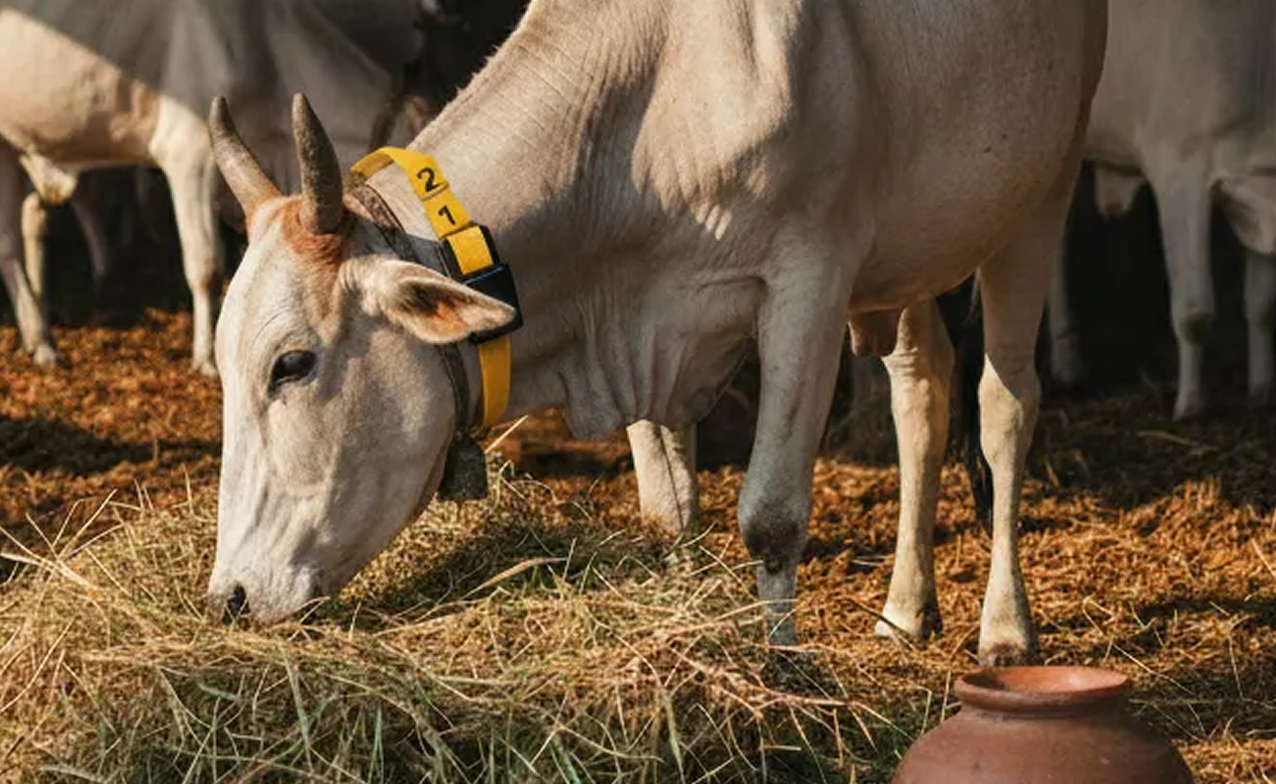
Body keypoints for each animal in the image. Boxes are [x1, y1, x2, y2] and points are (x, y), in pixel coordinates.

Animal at [205, 0, 1106, 666]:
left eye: (292, 362)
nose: (229, 598)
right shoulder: (633, 325)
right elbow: (669, 509)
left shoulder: (809, 286)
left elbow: (771, 515)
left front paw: (785, 669)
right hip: (916, 255)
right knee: (921, 397)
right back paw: (905, 611)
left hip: (1042, 192)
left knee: (1004, 406)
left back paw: (1005, 628)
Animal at [1046, 0, 1276, 419]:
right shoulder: (1179, 172)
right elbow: (1195, 311)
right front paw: (1189, 406)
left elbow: (1262, 303)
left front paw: (1263, 389)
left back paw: (1068, 366)